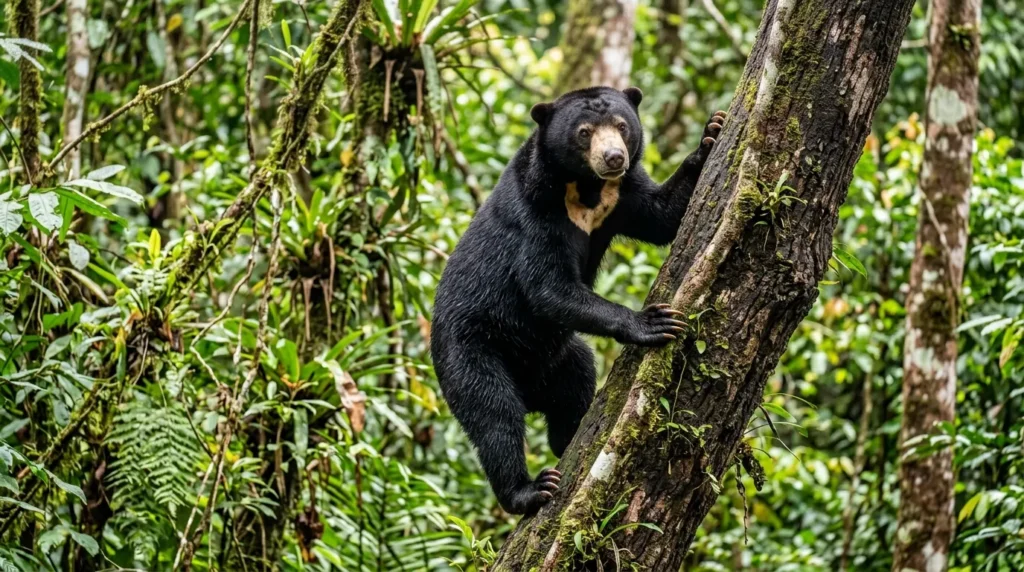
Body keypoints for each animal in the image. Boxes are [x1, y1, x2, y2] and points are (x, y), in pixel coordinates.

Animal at [430, 86, 726, 514]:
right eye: (584, 132)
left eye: (622, 126)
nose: (614, 157)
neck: (585, 189)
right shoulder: (536, 211)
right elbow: (547, 286)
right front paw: (653, 322)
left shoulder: (622, 196)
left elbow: (662, 216)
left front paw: (711, 134)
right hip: (469, 351)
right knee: (493, 413)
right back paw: (528, 489)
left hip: (560, 360)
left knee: (577, 375)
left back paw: (568, 437)